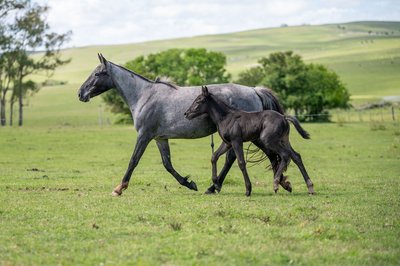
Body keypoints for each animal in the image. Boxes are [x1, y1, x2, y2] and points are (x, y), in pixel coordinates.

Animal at [77, 54, 284, 196]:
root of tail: (254, 91)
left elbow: (133, 160)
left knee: (243, 156)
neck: (144, 95)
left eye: (97, 73)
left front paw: (119, 188)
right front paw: (189, 183)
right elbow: (167, 164)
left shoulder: (144, 135)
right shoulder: (160, 138)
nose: (80, 93)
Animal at [185, 86, 316, 196]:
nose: (186, 113)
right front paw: (216, 185)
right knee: (296, 156)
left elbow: (241, 163)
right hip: (284, 140)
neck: (226, 117)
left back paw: (276, 184)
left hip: (269, 140)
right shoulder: (227, 143)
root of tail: (284, 117)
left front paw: (248, 190)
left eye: (198, 101)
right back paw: (310, 187)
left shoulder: (236, 141)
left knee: (285, 155)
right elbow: (214, 156)